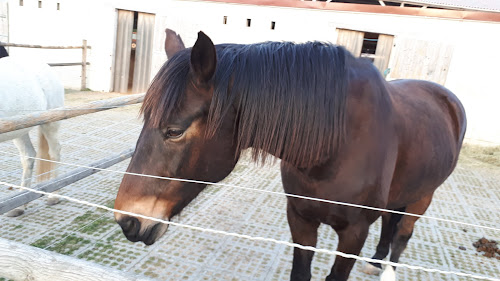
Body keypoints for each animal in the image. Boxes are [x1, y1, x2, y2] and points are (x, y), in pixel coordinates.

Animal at [0, 46, 64, 217]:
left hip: (50, 122)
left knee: (55, 152)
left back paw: (54, 196)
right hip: (19, 129)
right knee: (28, 156)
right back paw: (20, 205)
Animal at [115, 29, 466, 280]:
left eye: (174, 130)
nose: (127, 221)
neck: (336, 145)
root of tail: (447, 98)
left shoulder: (353, 234)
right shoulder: (300, 220)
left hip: (424, 196)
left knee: (403, 234)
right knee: (391, 223)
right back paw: (376, 262)